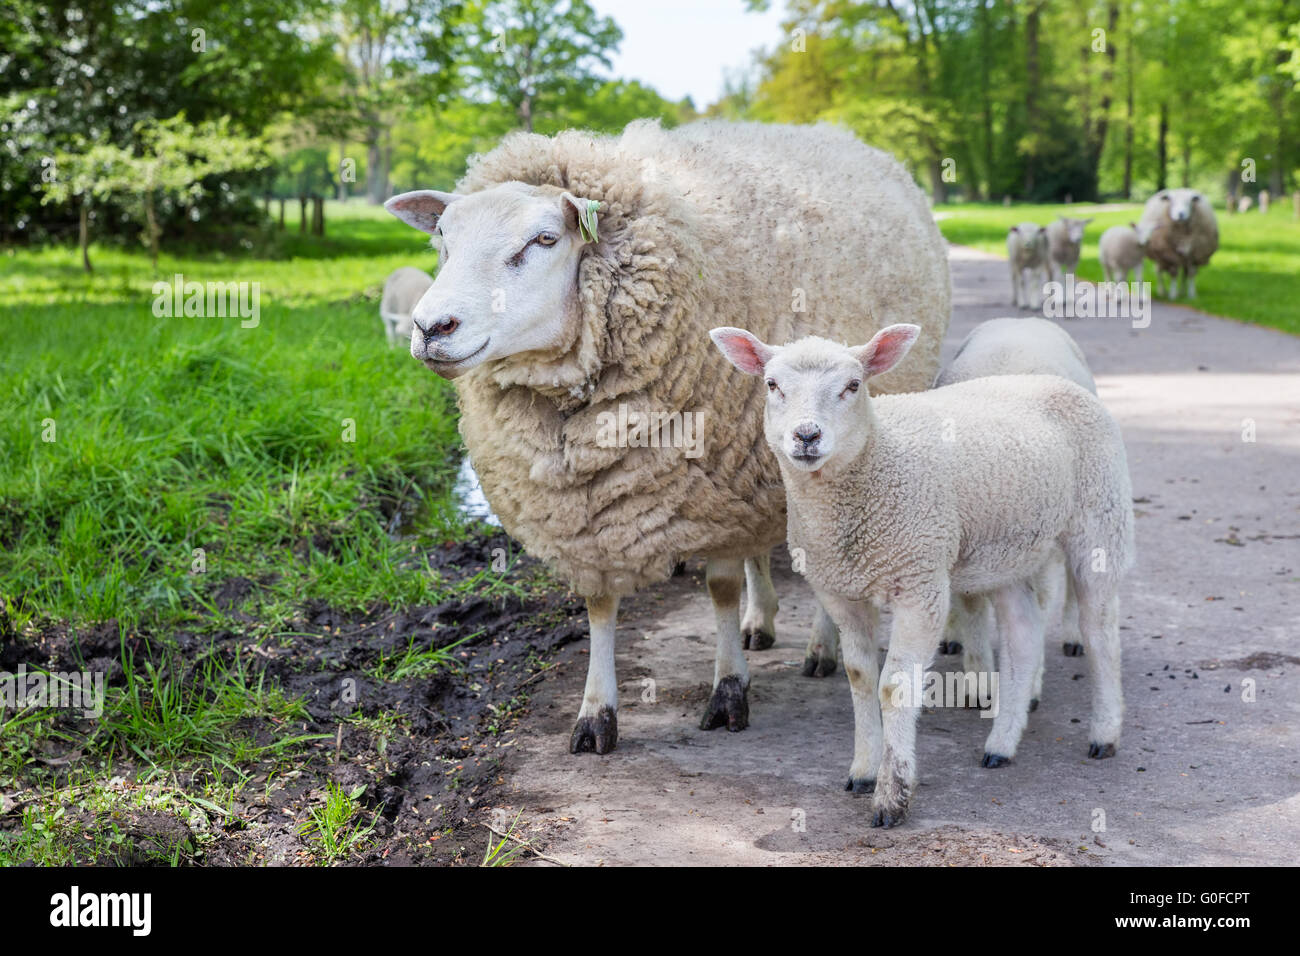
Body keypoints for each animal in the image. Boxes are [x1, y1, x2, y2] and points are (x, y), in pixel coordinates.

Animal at [707, 325, 1133, 827]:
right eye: (772, 385)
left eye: (853, 385)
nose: (807, 435)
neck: (874, 463)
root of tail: (1056, 382)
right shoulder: (840, 590)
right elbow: (859, 676)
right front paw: (863, 770)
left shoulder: (920, 583)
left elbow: (894, 687)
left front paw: (892, 795)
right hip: (1005, 550)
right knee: (1024, 634)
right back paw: (1002, 744)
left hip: (1099, 520)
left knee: (1100, 631)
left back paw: (1104, 733)